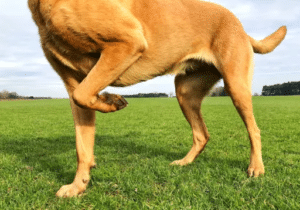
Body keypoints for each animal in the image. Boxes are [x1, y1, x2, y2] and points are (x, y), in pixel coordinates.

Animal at [28, 0, 286, 197]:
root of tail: (241, 27)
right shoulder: (73, 82)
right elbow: (82, 145)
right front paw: (78, 186)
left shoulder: (128, 42)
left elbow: (84, 95)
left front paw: (112, 101)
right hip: (185, 93)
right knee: (202, 134)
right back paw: (184, 162)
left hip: (236, 85)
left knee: (254, 129)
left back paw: (256, 167)